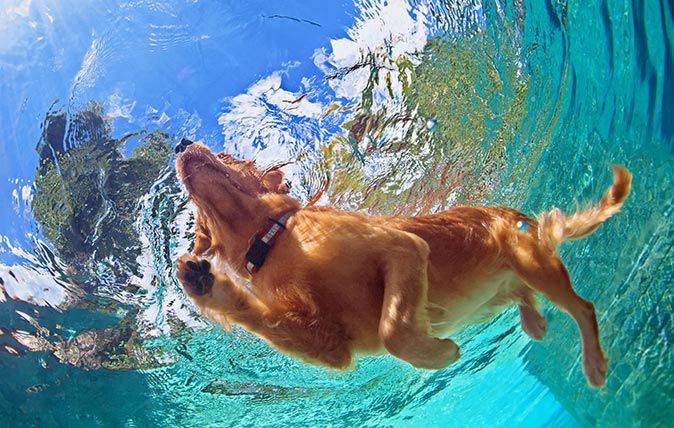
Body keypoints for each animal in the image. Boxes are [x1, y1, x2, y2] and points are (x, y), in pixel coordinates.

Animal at [173, 140, 632, 388]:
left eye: (226, 153)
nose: (180, 144)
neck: (274, 240)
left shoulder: (403, 248)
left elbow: (393, 330)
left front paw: (439, 353)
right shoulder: (331, 345)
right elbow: (269, 320)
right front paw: (202, 283)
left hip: (532, 262)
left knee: (583, 307)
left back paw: (593, 363)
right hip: (502, 290)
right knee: (525, 295)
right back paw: (533, 321)